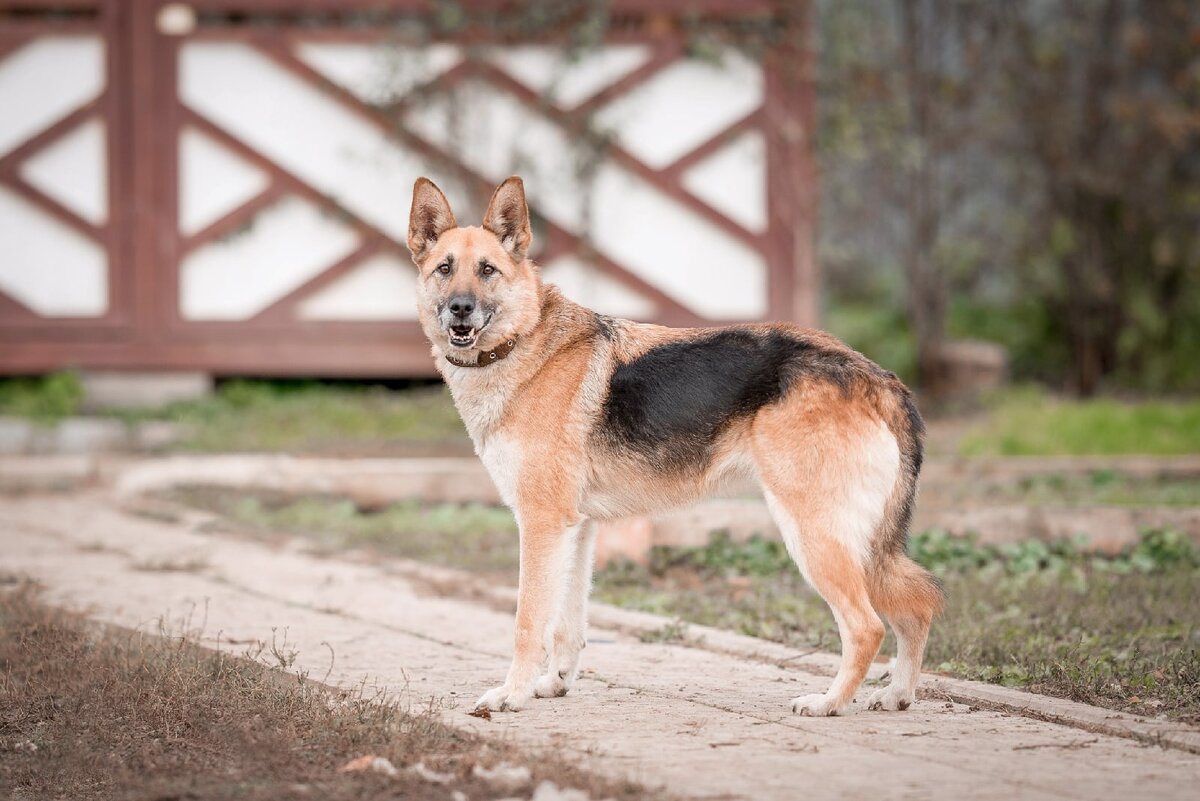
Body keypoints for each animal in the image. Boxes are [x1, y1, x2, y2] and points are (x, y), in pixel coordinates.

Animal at [408, 173, 940, 714]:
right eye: (445, 269)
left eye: (487, 270)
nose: (459, 310)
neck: (525, 340)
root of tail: (877, 376)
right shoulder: (577, 529)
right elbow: (567, 626)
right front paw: (553, 684)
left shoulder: (541, 525)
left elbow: (528, 622)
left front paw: (511, 695)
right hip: (860, 547)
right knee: (920, 602)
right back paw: (897, 693)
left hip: (812, 535)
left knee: (867, 626)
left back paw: (828, 703)